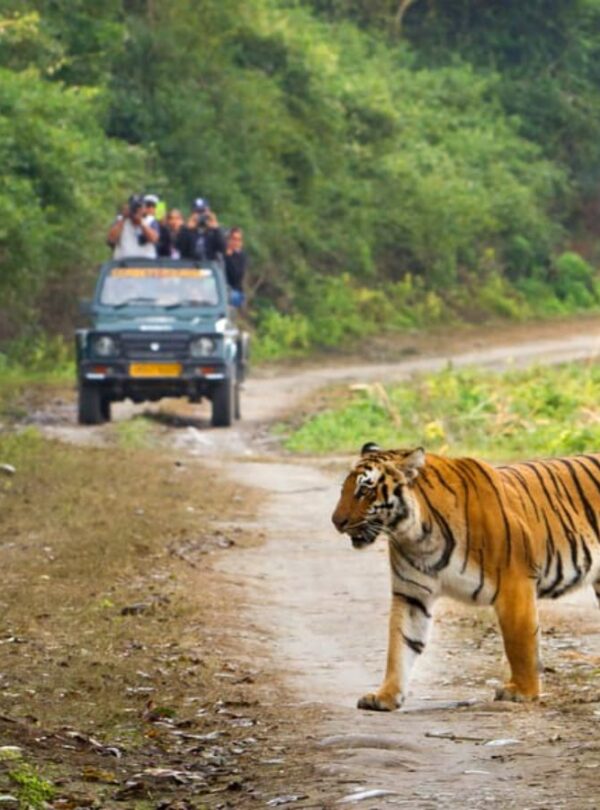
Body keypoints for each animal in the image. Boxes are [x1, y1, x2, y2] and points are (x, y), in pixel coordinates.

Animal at [331, 442, 600, 711]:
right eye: (344, 489)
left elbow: (520, 643)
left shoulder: (515, 583)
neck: (416, 536)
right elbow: (400, 644)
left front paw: (522, 691)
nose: (336, 522)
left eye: (364, 490)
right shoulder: (411, 594)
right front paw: (385, 696)